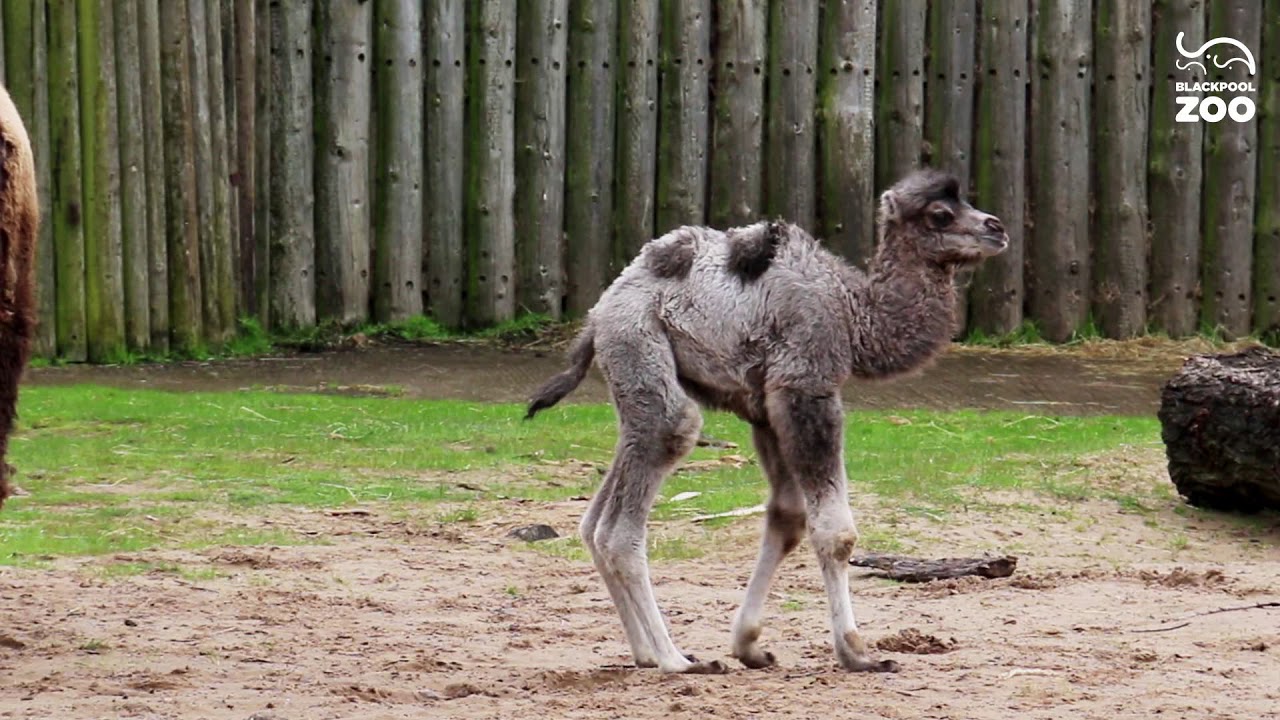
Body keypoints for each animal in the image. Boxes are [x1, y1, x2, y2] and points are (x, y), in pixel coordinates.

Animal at [526, 168, 1008, 673]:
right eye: (941, 214)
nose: (996, 228)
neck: (853, 313)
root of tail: (598, 313)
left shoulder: (765, 409)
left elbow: (788, 518)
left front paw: (750, 645)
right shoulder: (805, 387)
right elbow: (836, 533)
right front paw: (857, 652)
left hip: (632, 373)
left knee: (596, 515)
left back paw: (645, 653)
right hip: (639, 341)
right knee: (641, 489)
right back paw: (676, 659)